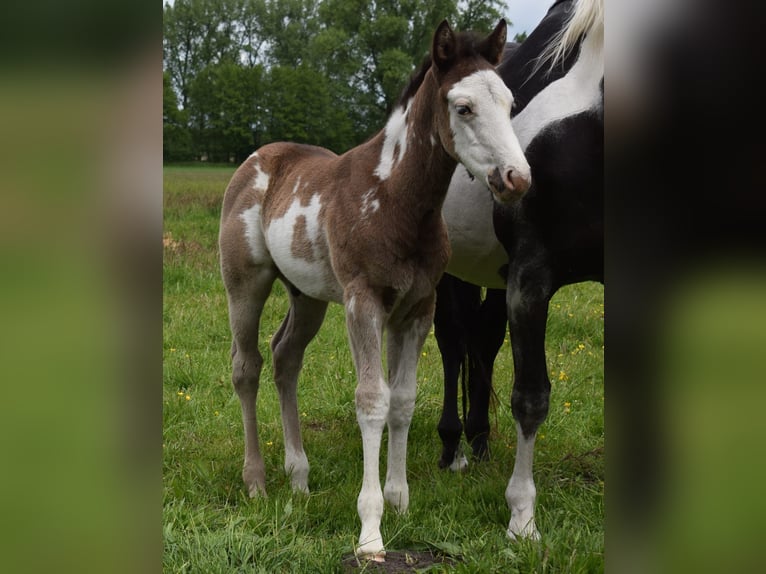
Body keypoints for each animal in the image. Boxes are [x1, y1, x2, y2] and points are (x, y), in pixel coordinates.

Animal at [218, 19, 531, 561]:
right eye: (463, 107)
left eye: (511, 103)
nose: (517, 178)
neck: (393, 199)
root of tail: (259, 157)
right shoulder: (362, 303)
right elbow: (371, 401)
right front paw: (370, 531)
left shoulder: (418, 307)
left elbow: (402, 400)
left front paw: (399, 501)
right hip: (246, 285)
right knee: (247, 367)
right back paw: (256, 481)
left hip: (308, 297)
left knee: (285, 359)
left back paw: (299, 478)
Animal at [435, 0, 604, 540]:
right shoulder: (531, 279)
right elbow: (531, 397)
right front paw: (522, 517)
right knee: (452, 344)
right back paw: (454, 447)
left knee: (483, 342)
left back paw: (481, 441)